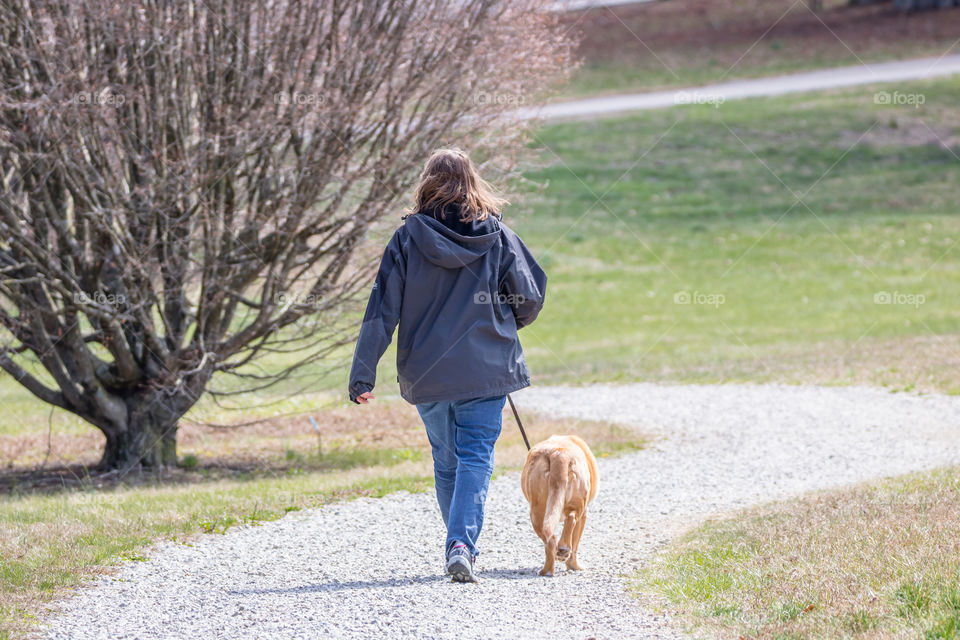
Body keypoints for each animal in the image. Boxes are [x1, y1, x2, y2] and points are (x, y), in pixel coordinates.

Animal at [520, 436, 596, 576]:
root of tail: (559, 454)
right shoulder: (584, 515)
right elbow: (575, 544)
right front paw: (574, 566)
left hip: (537, 512)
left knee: (549, 541)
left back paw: (548, 569)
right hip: (578, 505)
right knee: (571, 519)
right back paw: (562, 552)